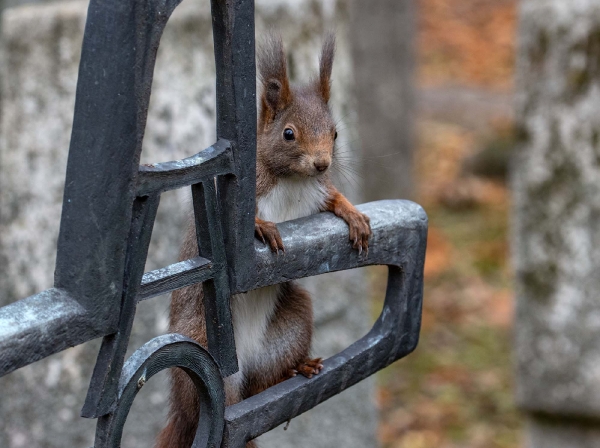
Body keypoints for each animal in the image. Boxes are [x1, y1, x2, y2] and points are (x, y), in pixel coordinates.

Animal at [155, 33, 370, 446]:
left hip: (291, 323)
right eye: (288, 133)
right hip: (201, 339)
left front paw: (354, 214)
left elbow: (335, 198)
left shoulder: (317, 193)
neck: (293, 181)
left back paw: (297, 369)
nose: (322, 163)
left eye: (335, 133)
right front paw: (264, 226)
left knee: (261, 386)